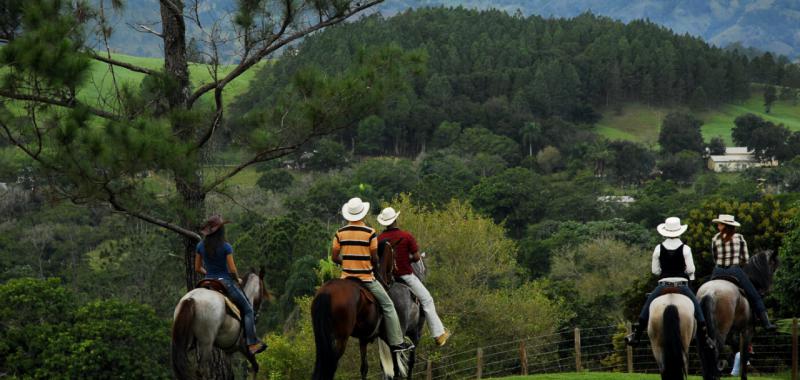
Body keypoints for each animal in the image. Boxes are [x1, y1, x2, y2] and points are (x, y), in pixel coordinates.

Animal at [312, 240, 412, 380]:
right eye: (394, 255)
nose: (391, 279)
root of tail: (327, 292)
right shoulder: (386, 334)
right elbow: (395, 363)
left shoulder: (363, 338)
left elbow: (364, 368)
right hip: (340, 338)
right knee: (331, 364)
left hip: (322, 337)